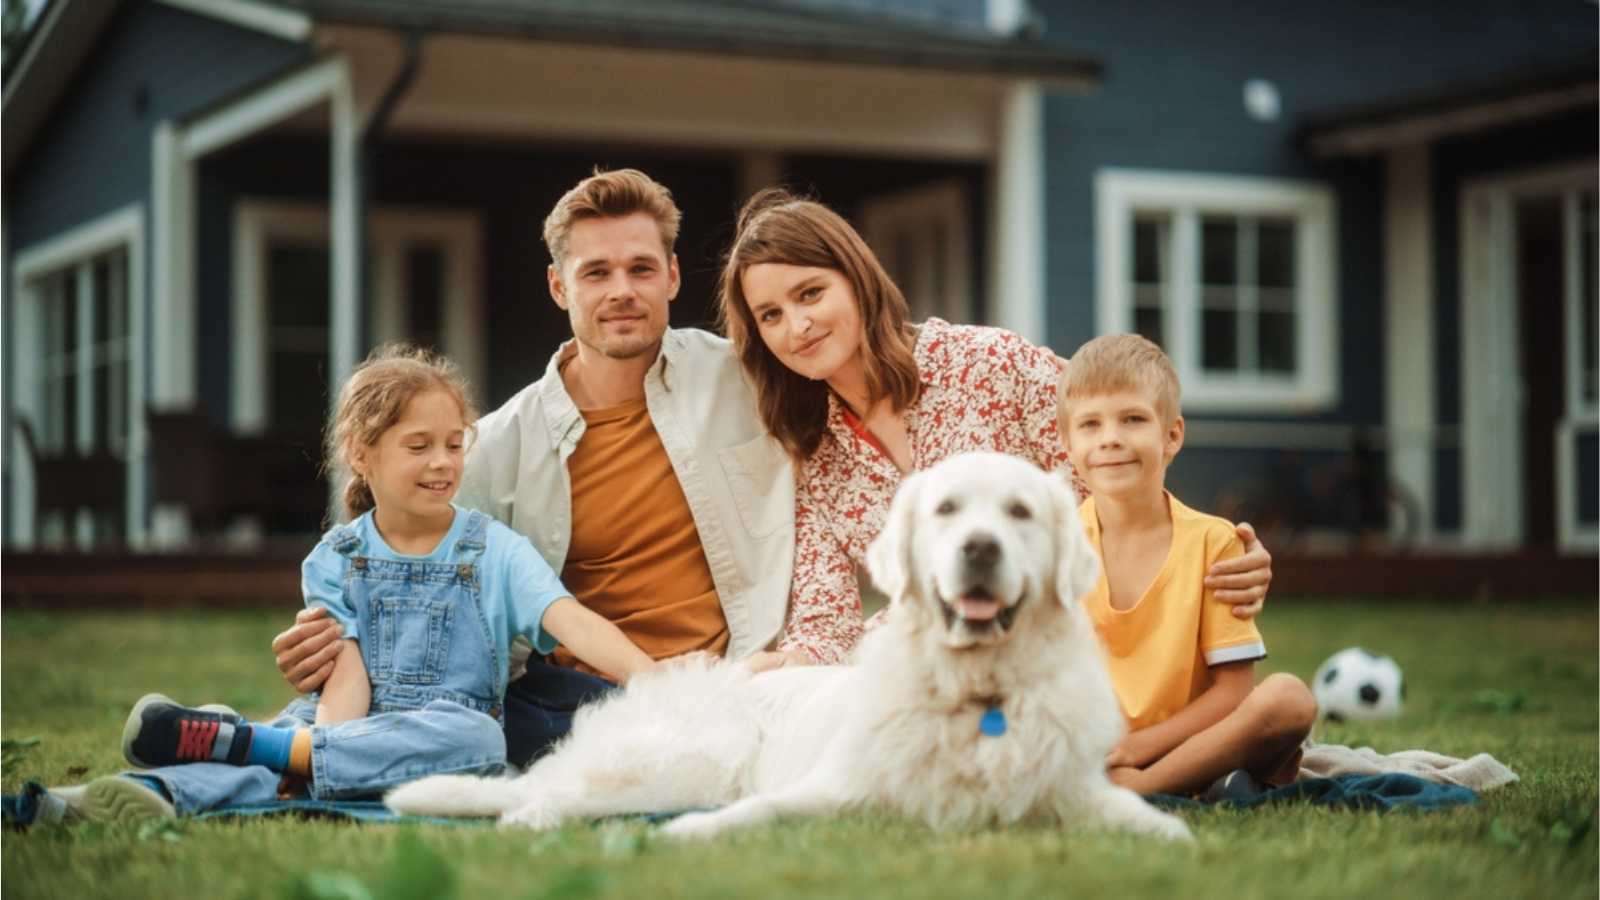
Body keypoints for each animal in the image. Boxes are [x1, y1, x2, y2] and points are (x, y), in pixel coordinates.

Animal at [387, 451, 1190, 839]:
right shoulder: (833, 787)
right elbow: (759, 814)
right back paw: (529, 820)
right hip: (686, 764)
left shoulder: (1070, 790)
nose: (980, 549)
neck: (977, 692)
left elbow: (1157, 828)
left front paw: (1170, 839)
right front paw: (692, 839)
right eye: (947, 509)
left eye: (1020, 512)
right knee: (552, 793)